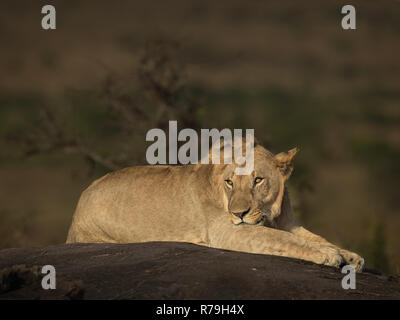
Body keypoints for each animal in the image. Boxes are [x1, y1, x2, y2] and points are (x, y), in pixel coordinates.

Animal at [66, 141, 366, 272]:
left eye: (258, 180)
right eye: (230, 182)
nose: (238, 213)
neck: (271, 213)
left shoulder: (291, 223)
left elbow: (315, 237)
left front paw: (350, 256)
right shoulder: (230, 231)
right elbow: (282, 240)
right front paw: (329, 255)